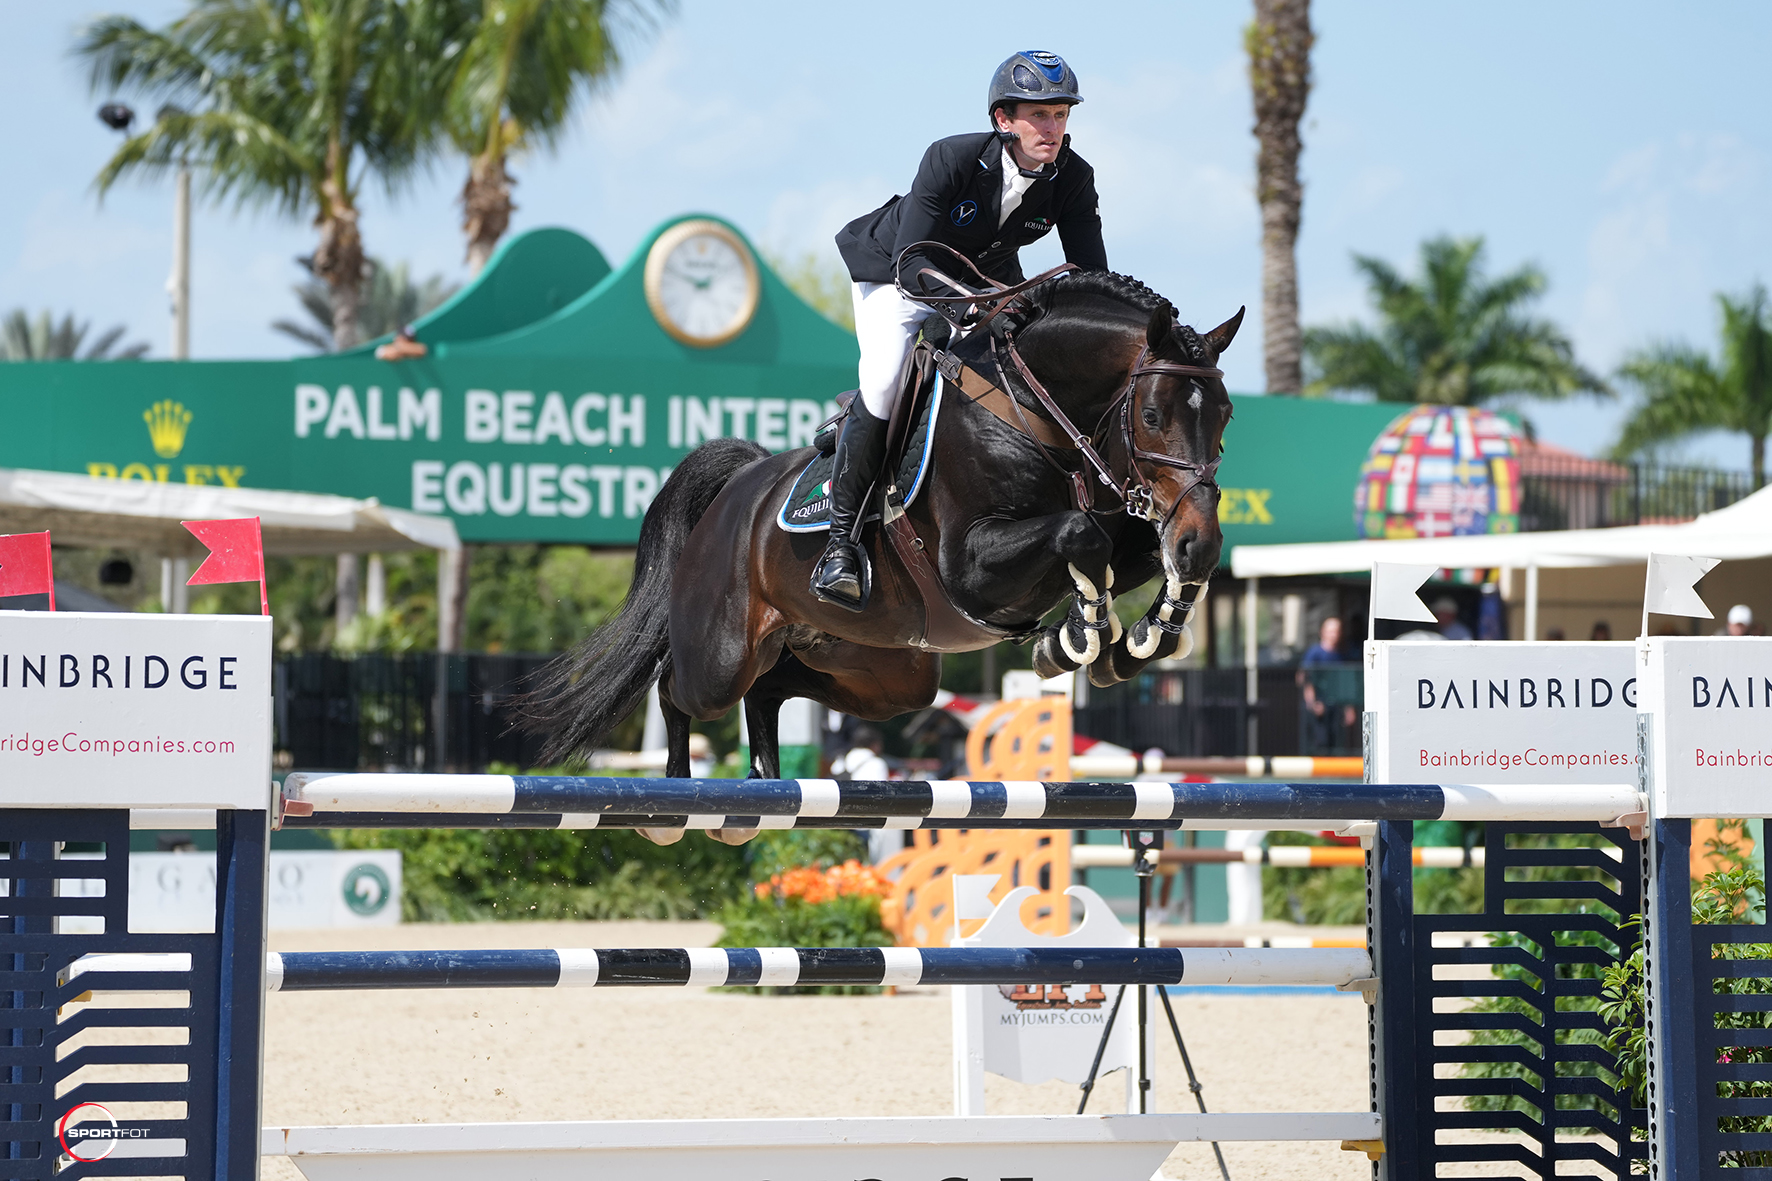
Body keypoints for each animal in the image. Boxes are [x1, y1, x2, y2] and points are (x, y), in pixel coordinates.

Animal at [524, 269, 1240, 801]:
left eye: (1226, 416)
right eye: (1153, 416)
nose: (1200, 539)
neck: (1028, 412)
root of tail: (737, 488)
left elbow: (1136, 554)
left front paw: (1142, 638)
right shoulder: (969, 567)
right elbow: (1079, 535)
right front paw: (1078, 637)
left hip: (880, 670)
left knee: (771, 688)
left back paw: (758, 786)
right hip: (721, 655)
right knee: (678, 684)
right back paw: (674, 800)